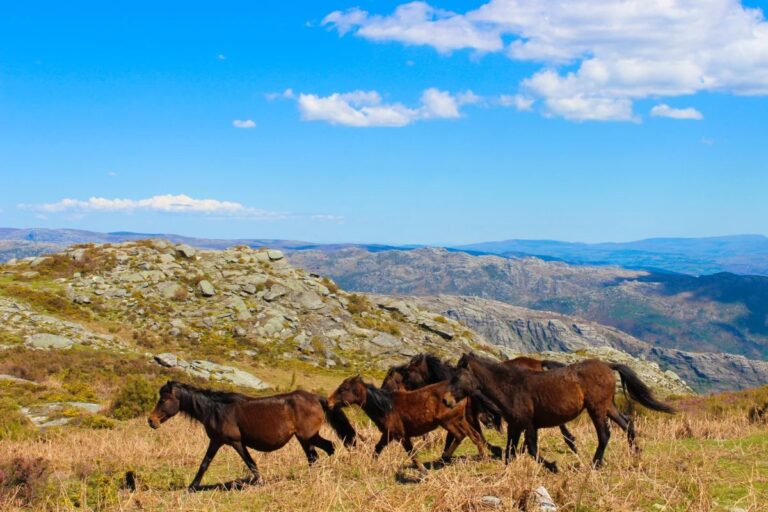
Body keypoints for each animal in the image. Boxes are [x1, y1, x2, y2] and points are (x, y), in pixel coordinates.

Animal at [148, 381, 356, 491]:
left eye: (164, 400)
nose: (151, 421)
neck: (216, 410)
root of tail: (316, 398)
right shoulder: (216, 441)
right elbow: (204, 463)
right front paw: (192, 486)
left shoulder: (235, 442)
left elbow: (250, 463)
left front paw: (259, 482)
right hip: (305, 438)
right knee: (317, 454)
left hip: (307, 436)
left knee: (325, 449)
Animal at [328, 376, 491, 473]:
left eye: (343, 389)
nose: (329, 402)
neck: (386, 407)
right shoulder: (388, 434)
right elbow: (377, 449)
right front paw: (371, 465)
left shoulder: (400, 435)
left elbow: (411, 452)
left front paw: (423, 471)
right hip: (459, 420)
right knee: (472, 436)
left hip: (450, 421)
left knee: (463, 435)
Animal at [394, 353, 578, 454]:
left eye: (409, 373)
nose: (401, 391)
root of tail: (539, 363)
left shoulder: (470, 416)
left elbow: (474, 435)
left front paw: (495, 450)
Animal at [443, 352, 675, 471]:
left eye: (457, 376)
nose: (446, 400)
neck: (511, 387)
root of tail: (608, 366)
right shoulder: (515, 426)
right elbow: (510, 452)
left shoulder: (528, 425)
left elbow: (532, 450)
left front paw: (553, 467)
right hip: (608, 406)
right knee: (627, 425)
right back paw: (636, 456)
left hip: (596, 408)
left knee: (604, 434)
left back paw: (594, 465)